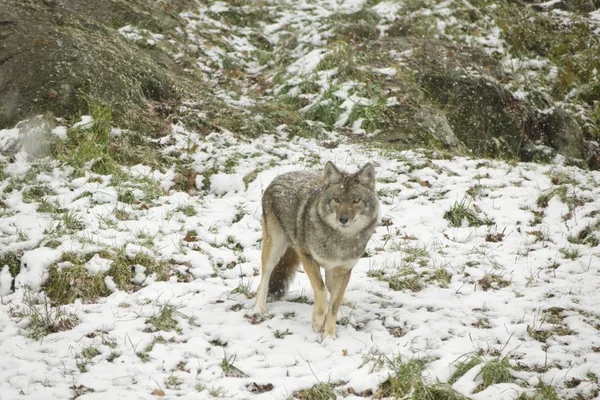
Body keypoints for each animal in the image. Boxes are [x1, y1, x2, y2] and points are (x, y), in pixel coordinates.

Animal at [254, 161, 380, 340]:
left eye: (356, 200)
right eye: (336, 200)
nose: (343, 219)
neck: (340, 240)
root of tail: (280, 176)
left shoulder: (344, 269)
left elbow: (334, 304)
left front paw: (329, 336)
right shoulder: (306, 257)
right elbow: (320, 290)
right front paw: (318, 322)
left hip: (329, 268)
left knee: (332, 288)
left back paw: (346, 302)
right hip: (274, 248)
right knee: (264, 280)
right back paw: (259, 308)